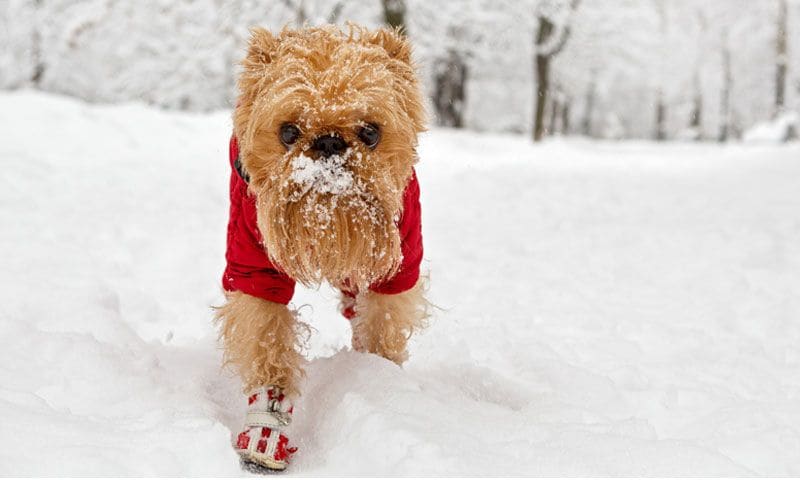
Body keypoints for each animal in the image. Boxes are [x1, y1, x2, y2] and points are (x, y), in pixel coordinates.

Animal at [216, 24, 432, 470]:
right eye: (288, 133)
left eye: (371, 132)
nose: (330, 142)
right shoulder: (254, 268)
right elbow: (268, 343)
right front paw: (265, 431)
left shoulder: (400, 264)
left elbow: (383, 325)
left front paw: (381, 383)